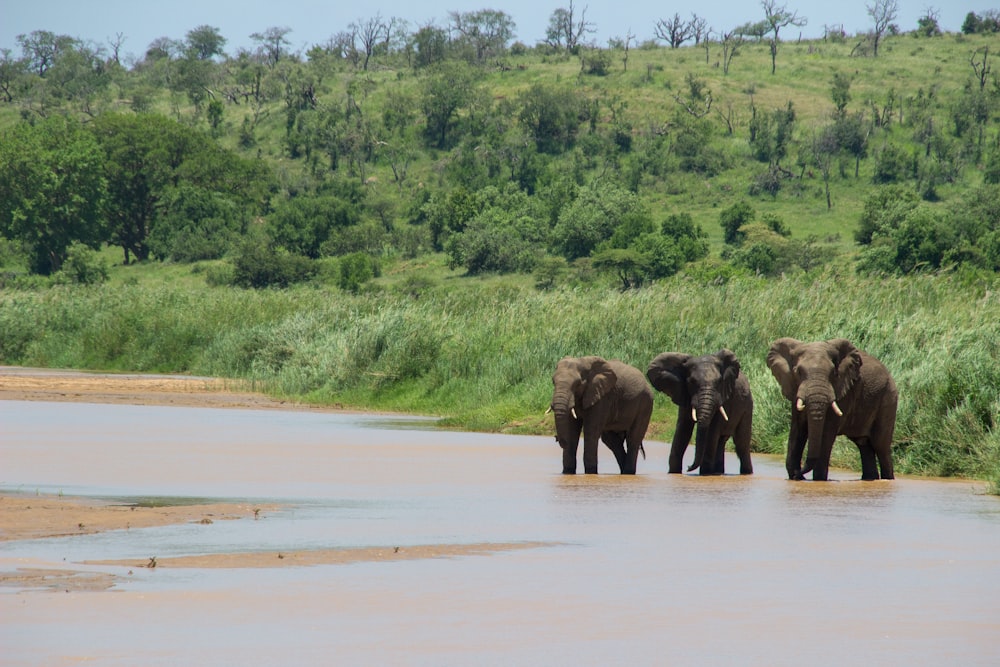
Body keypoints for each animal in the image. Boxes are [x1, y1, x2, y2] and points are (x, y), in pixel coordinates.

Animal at [764, 340, 900, 480]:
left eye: (833, 373)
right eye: (798, 372)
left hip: (888, 398)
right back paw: (869, 478)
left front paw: (819, 480)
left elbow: (827, 432)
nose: (798, 474)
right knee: (863, 444)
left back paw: (887, 478)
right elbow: (798, 430)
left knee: (881, 446)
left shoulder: (843, 391)